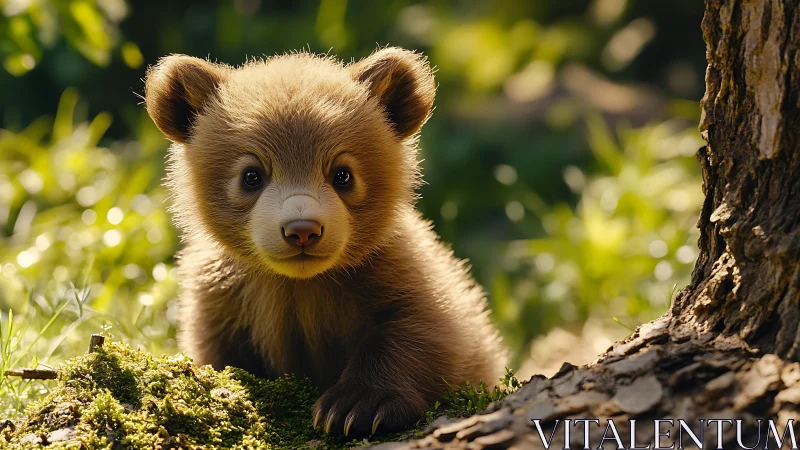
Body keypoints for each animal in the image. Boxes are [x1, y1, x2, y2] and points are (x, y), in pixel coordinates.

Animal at [144, 47, 507, 436]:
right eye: (251, 176)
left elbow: (428, 328)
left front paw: (356, 405)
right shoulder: (225, 293)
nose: (302, 229)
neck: (302, 284)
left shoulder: (392, 268)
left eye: (342, 174)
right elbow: (214, 348)